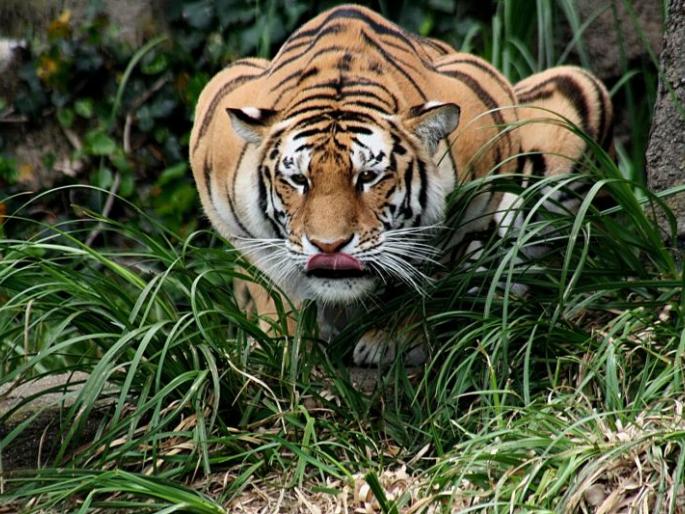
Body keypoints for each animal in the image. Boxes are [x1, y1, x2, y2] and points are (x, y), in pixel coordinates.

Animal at [189, 4, 613, 367]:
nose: (329, 247)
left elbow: (429, 271)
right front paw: (284, 345)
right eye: (298, 180)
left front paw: (392, 340)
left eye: (368, 177)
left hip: (574, 96)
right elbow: (272, 284)